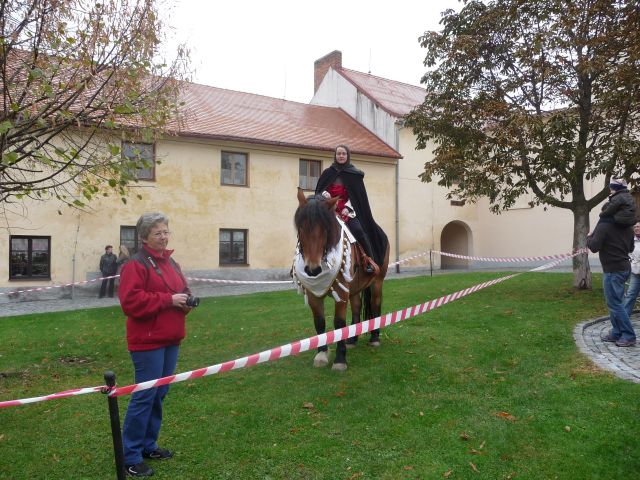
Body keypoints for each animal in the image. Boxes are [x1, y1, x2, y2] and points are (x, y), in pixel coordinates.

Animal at [292, 188, 390, 372]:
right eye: (300, 227)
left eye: (325, 228)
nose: (312, 269)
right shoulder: (314, 295)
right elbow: (319, 322)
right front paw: (321, 355)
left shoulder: (341, 293)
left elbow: (339, 323)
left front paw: (340, 359)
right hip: (354, 287)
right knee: (357, 306)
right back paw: (352, 340)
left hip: (377, 281)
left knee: (376, 304)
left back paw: (374, 338)